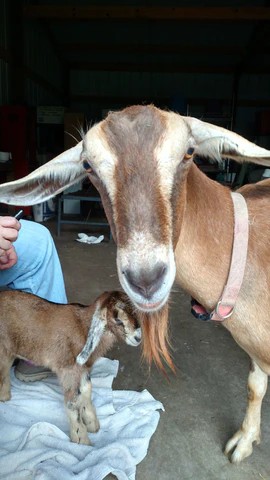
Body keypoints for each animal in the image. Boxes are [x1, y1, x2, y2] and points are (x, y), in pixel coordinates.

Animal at [0, 286, 142, 444]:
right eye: (117, 319)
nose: (138, 338)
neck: (83, 328)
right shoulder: (68, 370)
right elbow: (72, 403)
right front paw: (81, 439)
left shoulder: (83, 369)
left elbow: (87, 390)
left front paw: (92, 424)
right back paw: (4, 397)